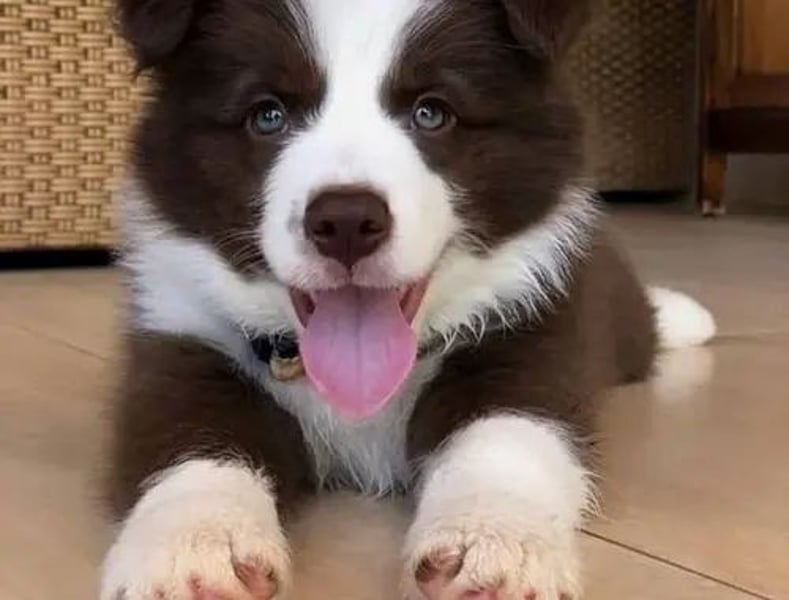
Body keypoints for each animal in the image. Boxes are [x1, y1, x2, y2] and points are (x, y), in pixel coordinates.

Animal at [101, 1, 716, 599]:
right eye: (267, 115)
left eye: (432, 112)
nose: (346, 222)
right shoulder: (183, 342)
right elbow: (192, 442)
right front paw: (192, 548)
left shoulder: (534, 330)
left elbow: (506, 432)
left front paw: (493, 542)